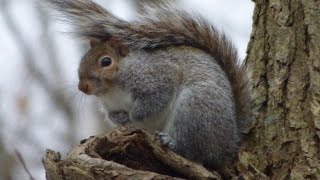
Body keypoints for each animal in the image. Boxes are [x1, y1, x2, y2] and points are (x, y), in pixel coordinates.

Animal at [43, 0, 252, 170]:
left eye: (106, 62)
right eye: (83, 59)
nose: (82, 87)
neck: (113, 90)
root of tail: (228, 146)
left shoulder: (158, 78)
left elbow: (153, 102)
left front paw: (134, 115)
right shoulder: (111, 105)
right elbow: (113, 115)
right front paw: (121, 118)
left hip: (195, 108)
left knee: (194, 151)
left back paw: (172, 142)